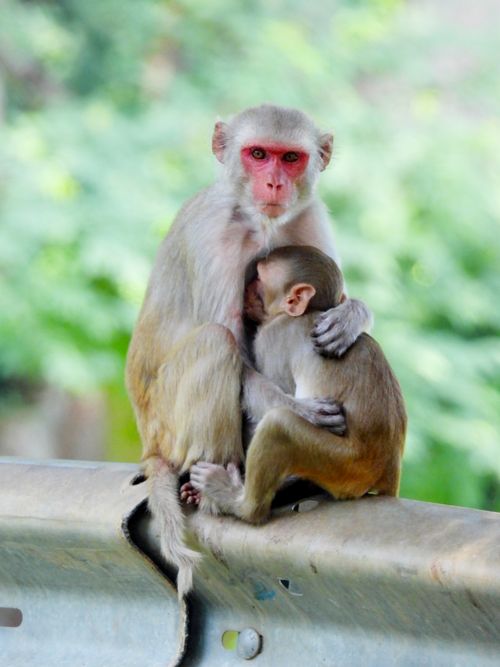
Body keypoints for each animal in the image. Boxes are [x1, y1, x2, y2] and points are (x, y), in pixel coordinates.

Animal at [125, 105, 372, 595]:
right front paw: (301, 412)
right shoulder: (216, 236)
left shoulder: (309, 218)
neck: (262, 223)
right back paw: (212, 490)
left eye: (290, 158)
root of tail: (149, 440)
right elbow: (236, 345)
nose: (274, 183)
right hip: (167, 420)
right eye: (258, 154)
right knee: (215, 343)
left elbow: (329, 298)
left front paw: (352, 314)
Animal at [187, 246, 407, 524]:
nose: (245, 288)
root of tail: (387, 466)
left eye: (259, 279)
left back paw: (238, 501)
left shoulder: (272, 338)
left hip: (346, 463)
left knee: (278, 425)